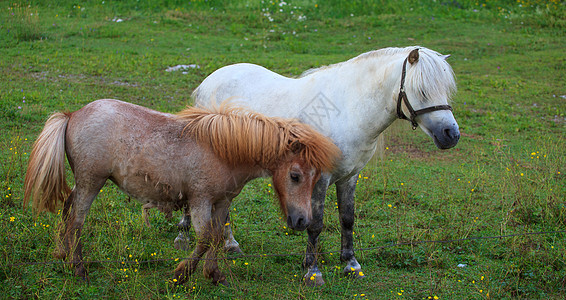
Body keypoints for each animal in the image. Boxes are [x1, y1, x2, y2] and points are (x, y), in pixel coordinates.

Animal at [182, 47, 462, 286]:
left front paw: (351, 265)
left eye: (446, 90)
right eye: (422, 91)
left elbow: (347, 219)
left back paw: (230, 244)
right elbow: (315, 224)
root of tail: (209, 81)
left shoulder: (349, 176)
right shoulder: (320, 178)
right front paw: (313, 272)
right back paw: (185, 236)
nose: (451, 134)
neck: (348, 109)